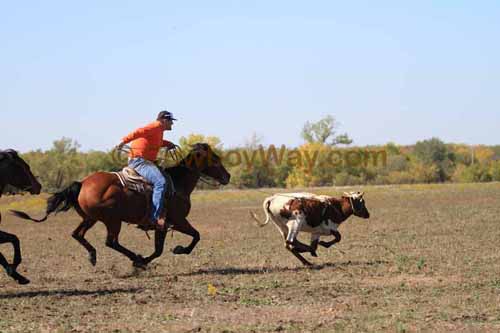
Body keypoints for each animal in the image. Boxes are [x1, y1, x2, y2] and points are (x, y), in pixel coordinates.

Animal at [0, 150, 41, 282]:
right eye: (25, 167)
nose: (38, 186)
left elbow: (14, 239)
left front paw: (17, 275)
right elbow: (14, 239)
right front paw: (14, 272)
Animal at [11, 143, 230, 268]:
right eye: (216, 159)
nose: (227, 176)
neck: (177, 183)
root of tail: (82, 183)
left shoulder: (165, 225)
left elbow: (161, 248)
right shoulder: (176, 221)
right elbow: (194, 236)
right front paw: (176, 250)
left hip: (91, 218)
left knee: (77, 234)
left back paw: (93, 256)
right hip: (112, 220)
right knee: (111, 242)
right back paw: (135, 258)